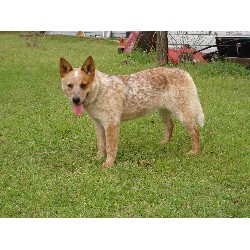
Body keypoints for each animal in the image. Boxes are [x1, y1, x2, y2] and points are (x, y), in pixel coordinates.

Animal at [59, 55, 204, 167]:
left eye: (84, 85)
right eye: (69, 85)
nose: (76, 100)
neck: (100, 91)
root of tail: (184, 72)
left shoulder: (111, 124)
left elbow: (110, 147)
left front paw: (109, 164)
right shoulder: (98, 125)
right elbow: (100, 144)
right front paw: (98, 158)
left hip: (183, 114)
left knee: (195, 132)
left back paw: (195, 153)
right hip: (163, 111)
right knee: (170, 126)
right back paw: (163, 143)